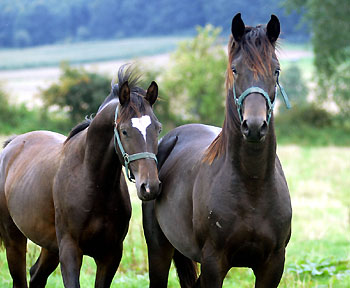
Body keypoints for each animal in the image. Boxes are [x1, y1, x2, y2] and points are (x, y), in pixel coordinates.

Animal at [0, 66, 162, 288]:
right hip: (14, 241)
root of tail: (12, 145)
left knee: (36, 275)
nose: (149, 186)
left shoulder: (110, 255)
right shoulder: (70, 252)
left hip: (50, 247)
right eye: (124, 131)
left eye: (158, 128)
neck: (92, 182)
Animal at [142, 13, 292, 288]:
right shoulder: (214, 263)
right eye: (235, 69)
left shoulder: (273, 265)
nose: (255, 126)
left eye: (276, 70)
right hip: (159, 249)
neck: (253, 185)